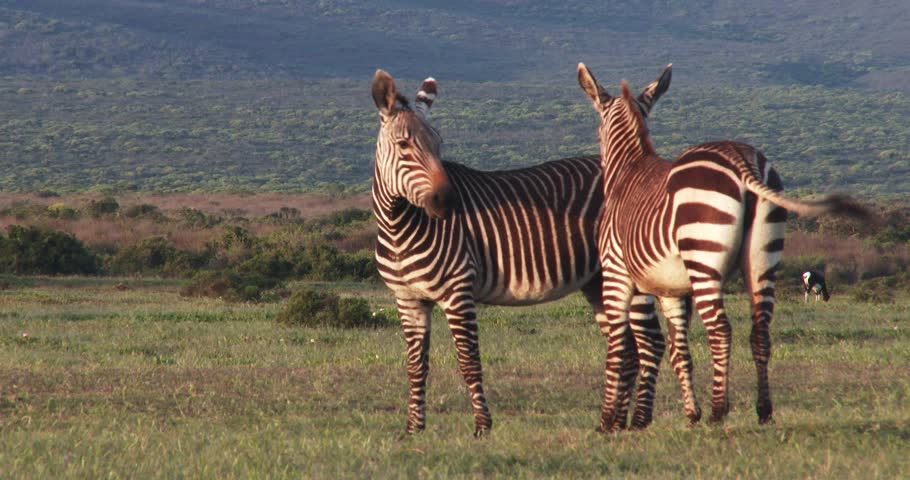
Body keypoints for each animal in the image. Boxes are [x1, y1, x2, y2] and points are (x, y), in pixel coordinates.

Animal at [368, 70, 676, 436]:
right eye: (404, 145)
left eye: (438, 144)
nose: (449, 202)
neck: (399, 227)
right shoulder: (408, 300)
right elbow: (416, 366)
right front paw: (414, 428)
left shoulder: (458, 291)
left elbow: (468, 361)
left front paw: (482, 427)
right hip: (598, 280)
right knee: (627, 349)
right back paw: (615, 423)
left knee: (650, 345)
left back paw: (638, 422)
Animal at [576, 62, 868, 430]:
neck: (628, 170)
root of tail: (742, 158)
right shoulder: (671, 289)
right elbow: (679, 351)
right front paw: (689, 414)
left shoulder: (616, 274)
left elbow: (619, 348)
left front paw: (610, 421)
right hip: (763, 257)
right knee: (761, 331)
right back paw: (763, 410)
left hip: (704, 259)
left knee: (720, 330)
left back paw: (719, 410)